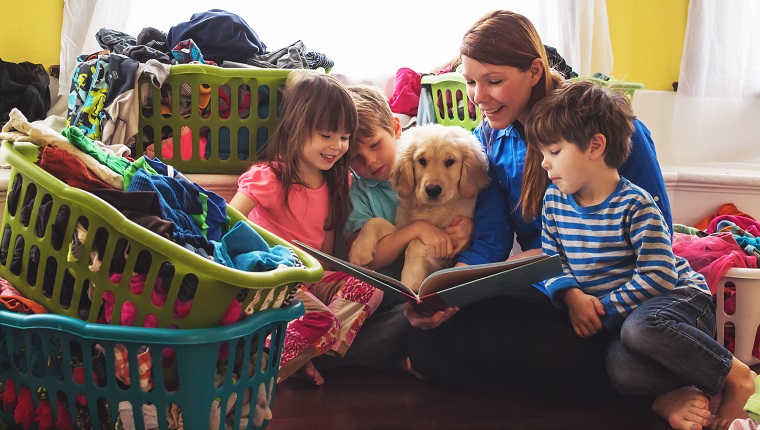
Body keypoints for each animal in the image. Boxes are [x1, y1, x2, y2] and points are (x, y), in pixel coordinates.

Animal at [348, 123, 490, 292]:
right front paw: (359, 250)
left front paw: (410, 283)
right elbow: (376, 221)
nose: (432, 190)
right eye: (422, 160)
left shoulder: (451, 244)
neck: (430, 209)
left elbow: (415, 244)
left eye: (450, 161)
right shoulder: (403, 228)